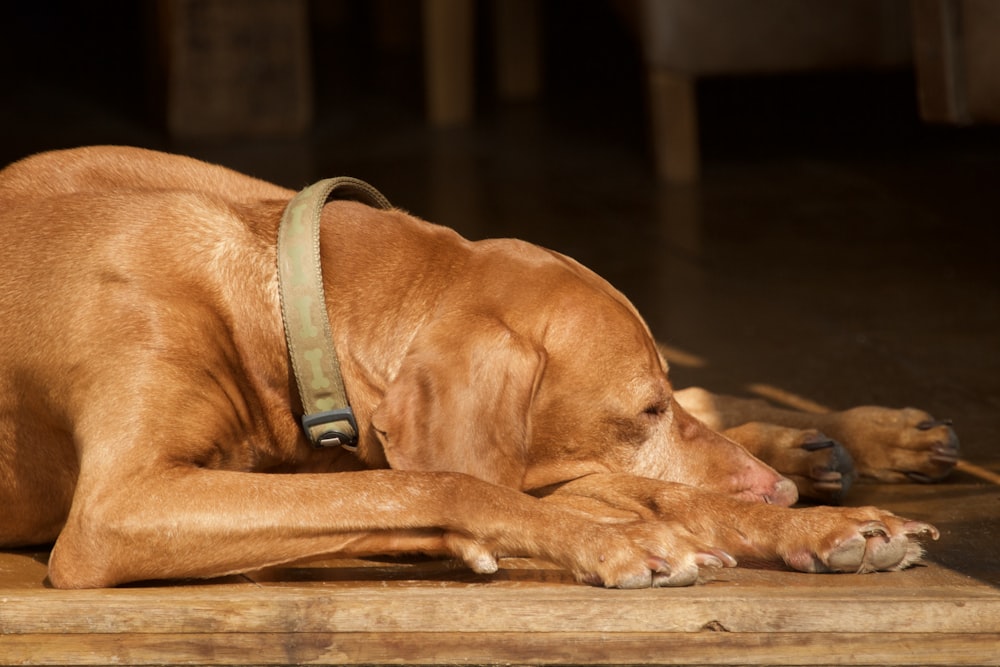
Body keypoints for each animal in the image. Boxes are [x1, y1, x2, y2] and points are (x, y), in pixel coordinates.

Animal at [0, 147, 952, 588]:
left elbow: (667, 486)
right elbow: (439, 482)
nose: (773, 493)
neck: (272, 292)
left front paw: (818, 524)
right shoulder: (119, 508)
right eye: (640, 411)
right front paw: (621, 540)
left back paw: (843, 442)